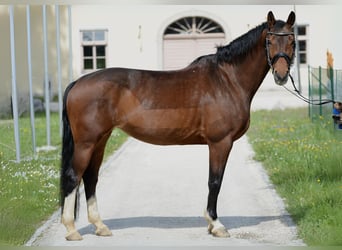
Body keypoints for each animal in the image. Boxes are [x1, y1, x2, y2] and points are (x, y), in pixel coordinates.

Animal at [60, 11, 296, 240]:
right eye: (269, 41)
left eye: (293, 41)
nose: (281, 75)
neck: (227, 80)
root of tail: (78, 82)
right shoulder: (220, 142)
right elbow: (215, 181)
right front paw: (216, 224)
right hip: (86, 142)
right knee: (74, 177)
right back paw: (71, 230)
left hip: (100, 140)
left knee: (90, 178)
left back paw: (100, 226)